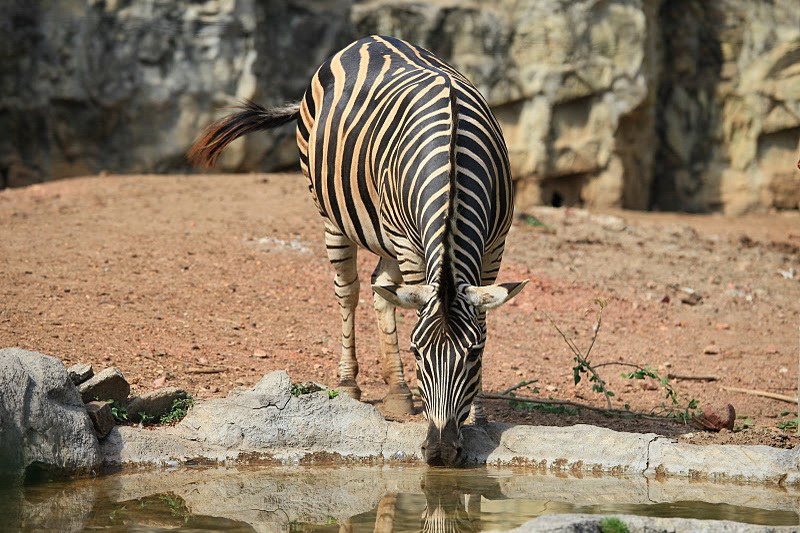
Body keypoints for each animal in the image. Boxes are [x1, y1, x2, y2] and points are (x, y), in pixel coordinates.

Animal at [188, 35, 524, 466]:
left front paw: (479, 415)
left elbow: (480, 320)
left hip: (386, 231)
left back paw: (397, 391)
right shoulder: (412, 247)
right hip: (334, 216)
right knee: (349, 291)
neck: (451, 161)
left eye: (474, 356)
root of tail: (366, 40)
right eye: (418, 353)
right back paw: (349, 384)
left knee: (382, 289)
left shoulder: (495, 244)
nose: (439, 452)